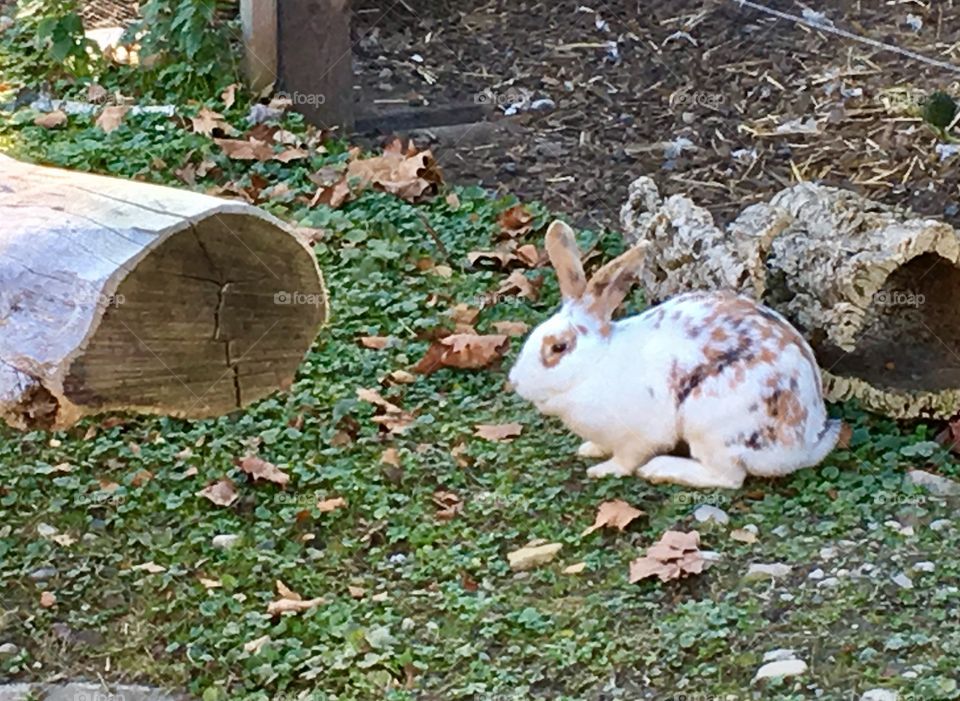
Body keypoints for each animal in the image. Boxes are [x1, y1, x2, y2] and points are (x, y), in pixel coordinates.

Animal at [508, 220, 842, 489]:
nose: (515, 382)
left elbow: (627, 459)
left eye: (559, 347)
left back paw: (660, 469)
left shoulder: (639, 437)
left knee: (727, 478)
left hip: (712, 427)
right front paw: (589, 449)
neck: (595, 365)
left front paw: (603, 470)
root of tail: (804, 443)